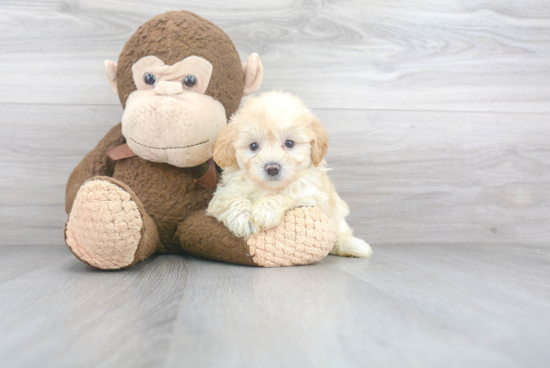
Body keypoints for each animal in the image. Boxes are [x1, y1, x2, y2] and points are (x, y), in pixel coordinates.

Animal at [209, 90, 374, 258]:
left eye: (289, 143)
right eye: (253, 146)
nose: (272, 168)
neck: (269, 188)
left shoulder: (311, 193)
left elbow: (287, 195)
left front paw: (264, 211)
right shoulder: (225, 191)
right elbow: (231, 199)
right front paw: (242, 219)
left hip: (337, 214)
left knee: (339, 234)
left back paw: (355, 246)